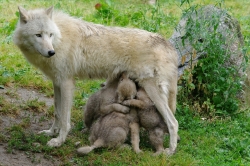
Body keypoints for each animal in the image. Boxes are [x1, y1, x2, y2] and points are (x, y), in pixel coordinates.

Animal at [13, 6, 178, 154]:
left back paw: (170, 151)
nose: (51, 52)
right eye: (38, 35)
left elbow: (65, 119)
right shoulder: (57, 83)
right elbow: (57, 113)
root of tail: (167, 44)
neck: (60, 39)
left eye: (50, 34)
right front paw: (51, 132)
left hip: (153, 92)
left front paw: (59, 141)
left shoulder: (66, 83)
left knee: (173, 122)